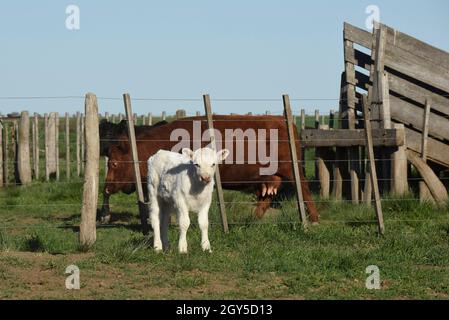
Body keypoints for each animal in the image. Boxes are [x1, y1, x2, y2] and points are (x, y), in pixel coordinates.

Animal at [101, 115, 318, 225]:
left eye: (114, 164)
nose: (107, 188)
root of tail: (282, 120)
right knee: (265, 199)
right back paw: (250, 221)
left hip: (292, 170)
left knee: (305, 190)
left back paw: (313, 219)